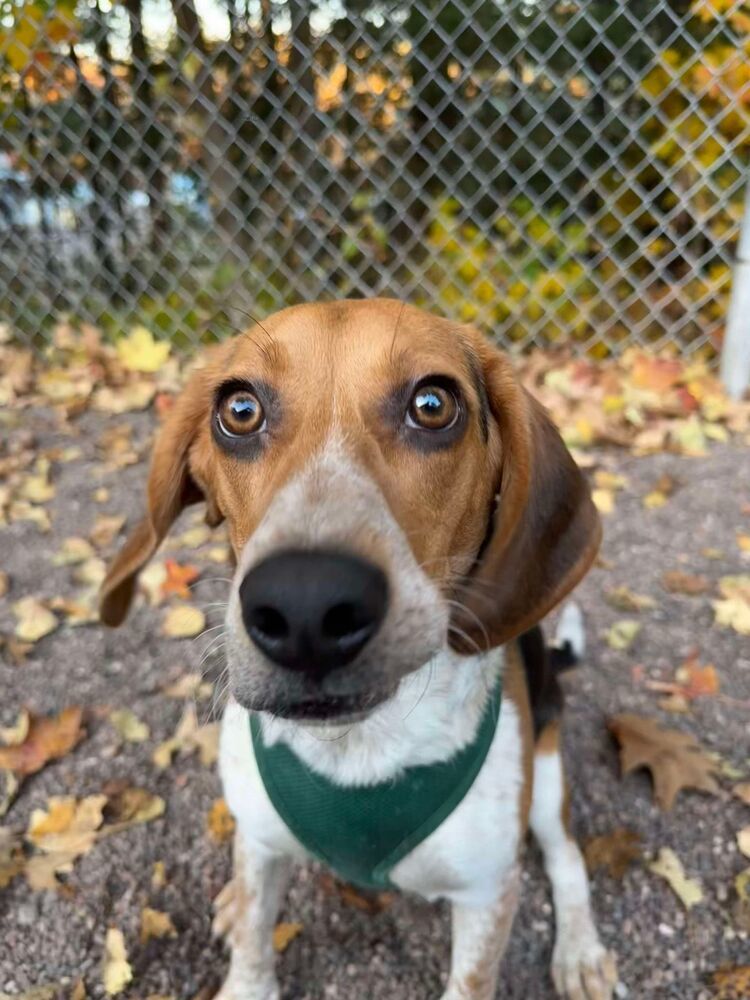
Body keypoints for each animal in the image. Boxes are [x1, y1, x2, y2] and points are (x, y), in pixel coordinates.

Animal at [98, 300, 616, 1000]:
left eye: (433, 404)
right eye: (239, 410)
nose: (305, 606)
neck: (354, 748)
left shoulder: (486, 894)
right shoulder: (258, 843)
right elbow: (255, 939)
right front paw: (244, 942)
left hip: (549, 770)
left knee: (566, 859)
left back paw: (582, 951)